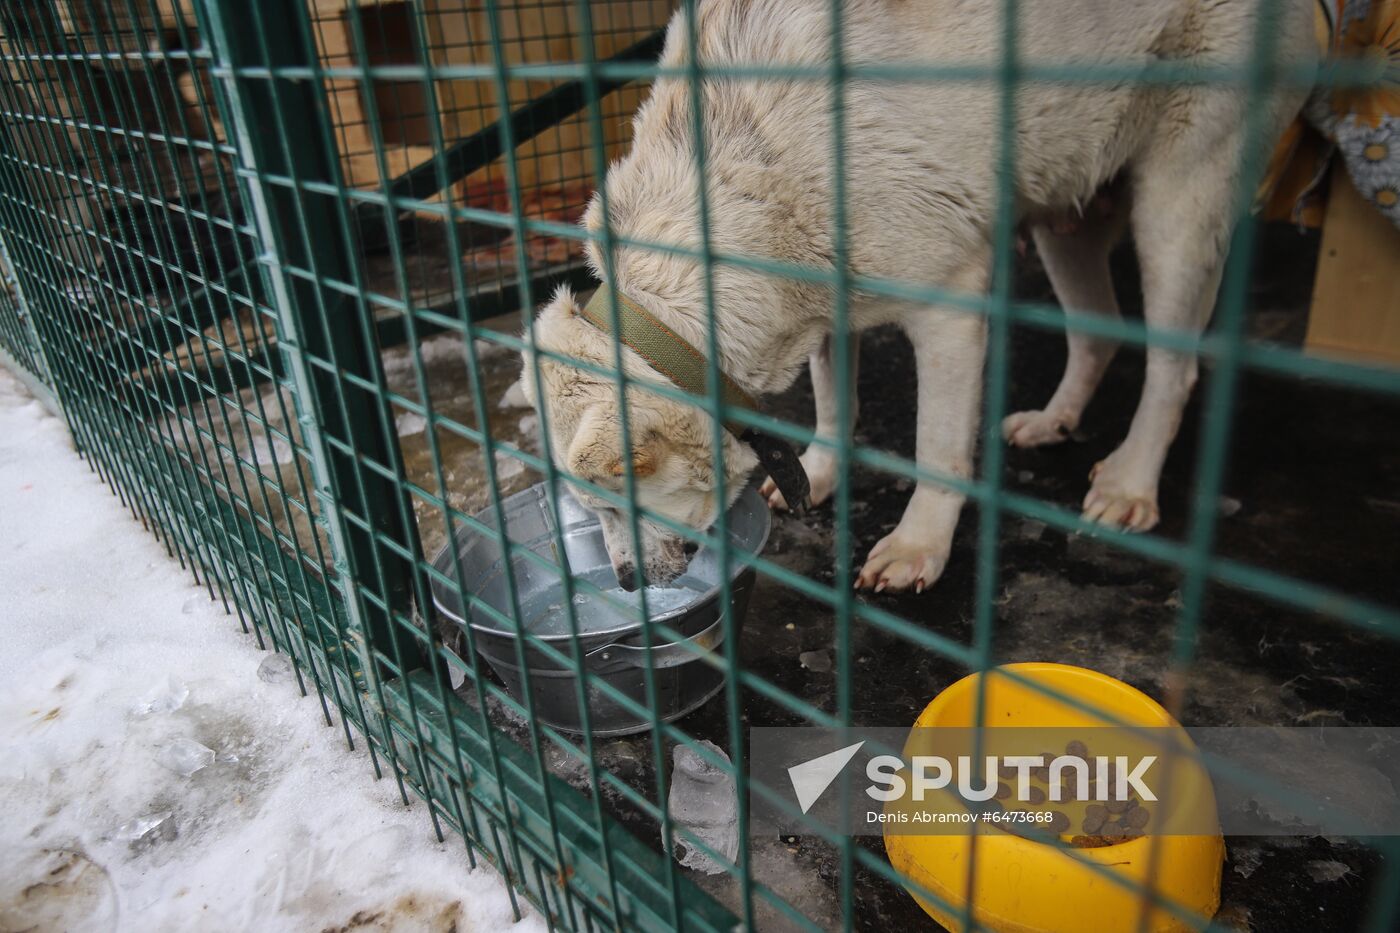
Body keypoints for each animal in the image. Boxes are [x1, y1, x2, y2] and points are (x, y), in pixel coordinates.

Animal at [520, 0, 1316, 591]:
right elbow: (834, 407)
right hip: (1066, 219)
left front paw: (918, 545)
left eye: (611, 502)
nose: (626, 582)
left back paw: (1130, 482)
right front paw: (820, 473)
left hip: (1177, 208)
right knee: (1098, 332)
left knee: (1173, 369)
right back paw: (1054, 421)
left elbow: (937, 449)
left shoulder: (951, 307)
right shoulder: (824, 310)